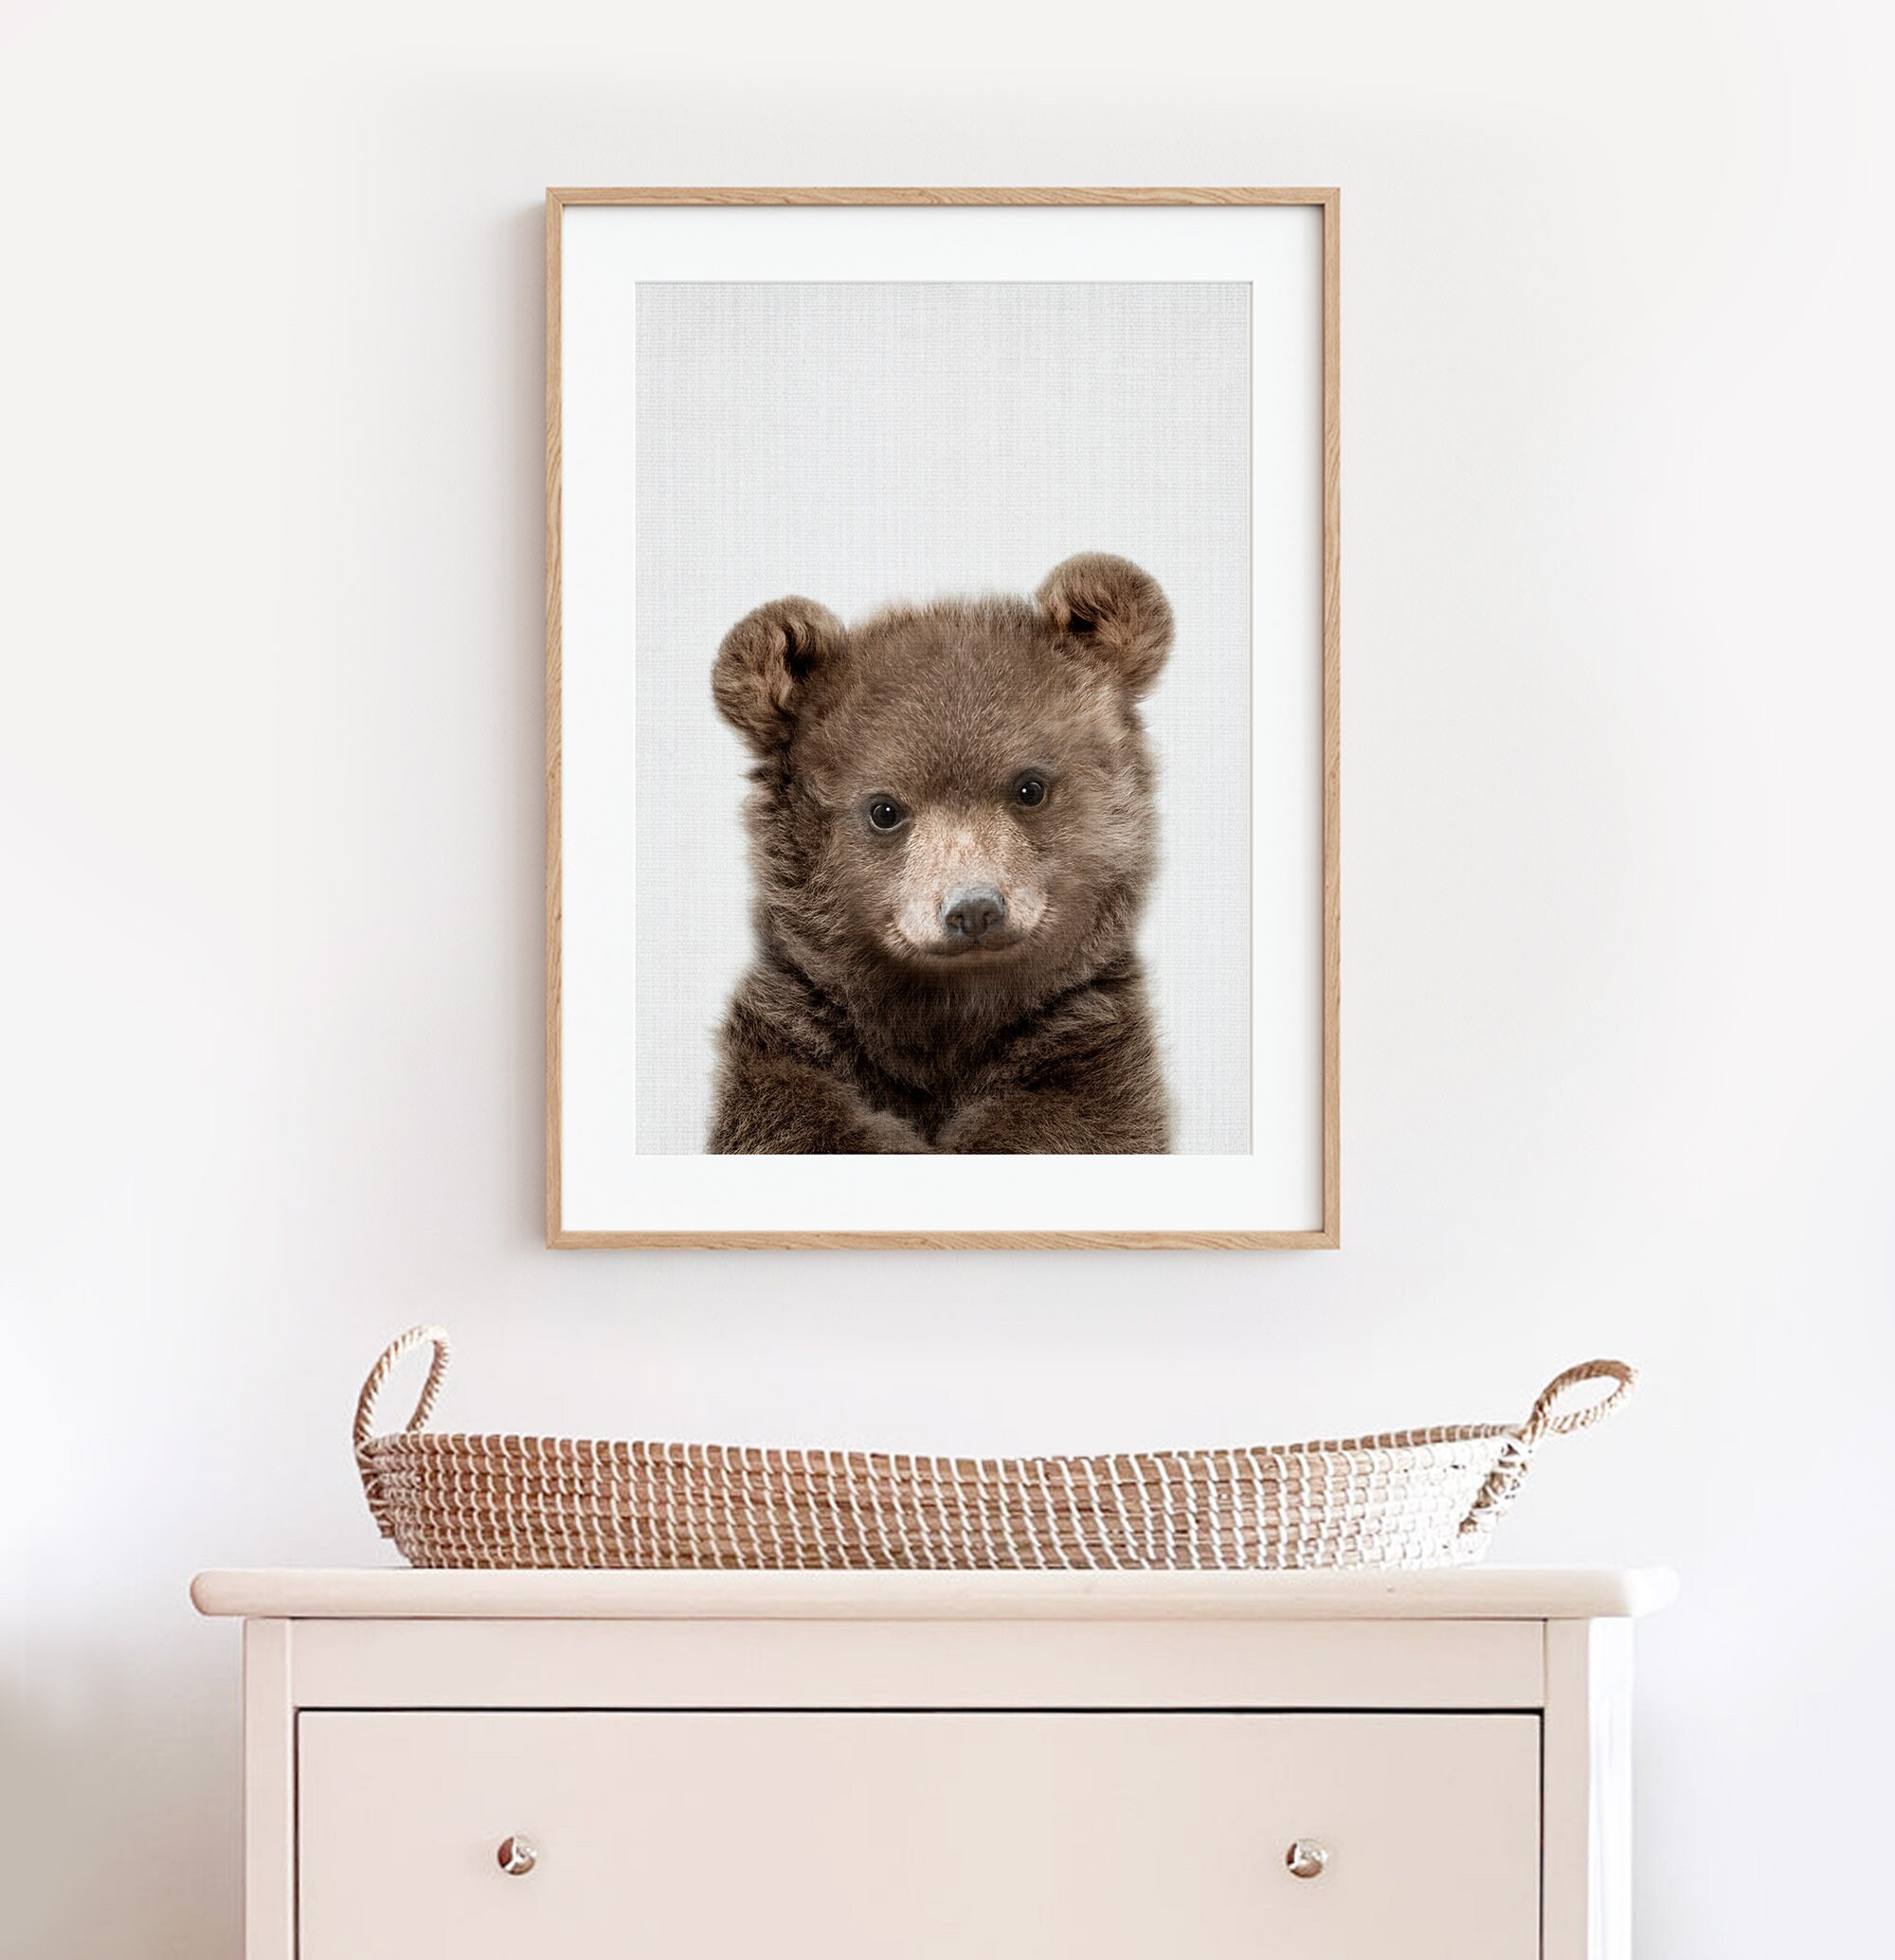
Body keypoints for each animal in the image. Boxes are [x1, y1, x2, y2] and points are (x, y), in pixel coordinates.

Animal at [706, 553, 1173, 1154]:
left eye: (1030, 787)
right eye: (884, 809)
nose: (973, 909)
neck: (947, 1017)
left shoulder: (1087, 1056)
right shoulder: (795, 1051)